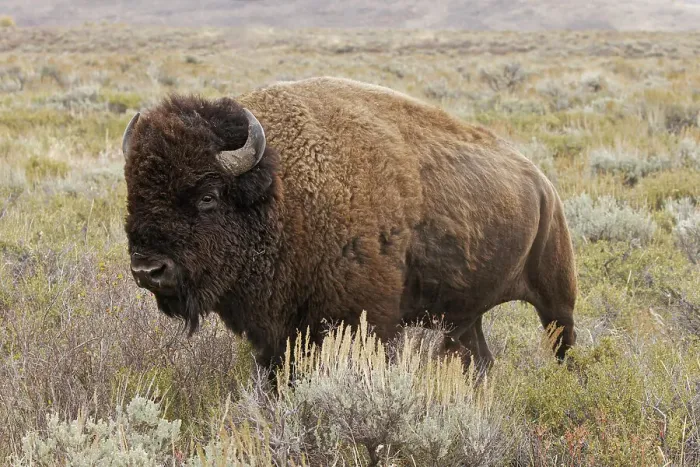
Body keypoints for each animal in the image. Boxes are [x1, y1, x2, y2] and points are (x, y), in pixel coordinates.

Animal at [121, 76, 577, 372]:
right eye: (133, 192)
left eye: (207, 196)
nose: (148, 269)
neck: (283, 190)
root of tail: (543, 185)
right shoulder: (279, 333)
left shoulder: (365, 322)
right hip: (466, 314)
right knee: (478, 357)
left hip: (557, 298)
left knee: (563, 344)